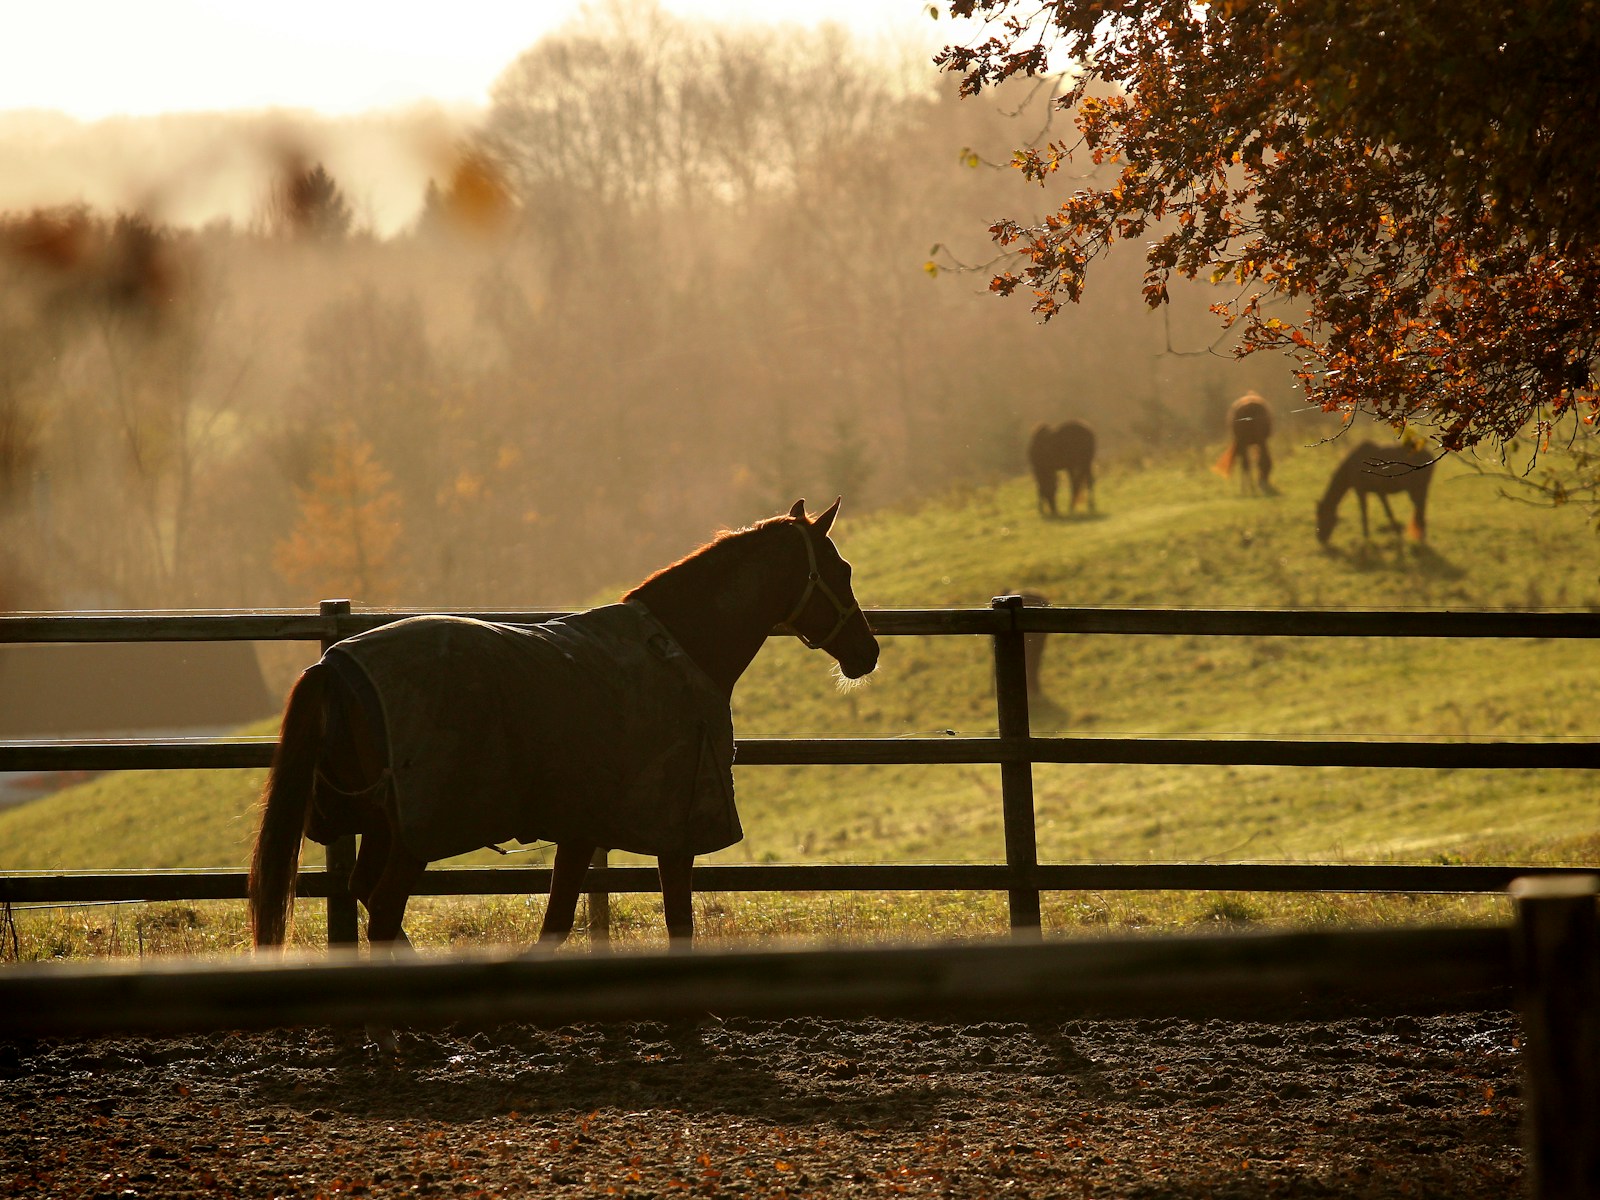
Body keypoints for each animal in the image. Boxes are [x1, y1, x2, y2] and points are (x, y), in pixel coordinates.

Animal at [249, 498, 879, 959]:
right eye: (841, 570)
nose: (866, 652)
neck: (678, 648)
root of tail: (334, 664)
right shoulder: (675, 832)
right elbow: (678, 925)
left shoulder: (582, 828)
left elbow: (554, 925)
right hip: (411, 837)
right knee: (381, 915)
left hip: (383, 826)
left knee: (368, 902)